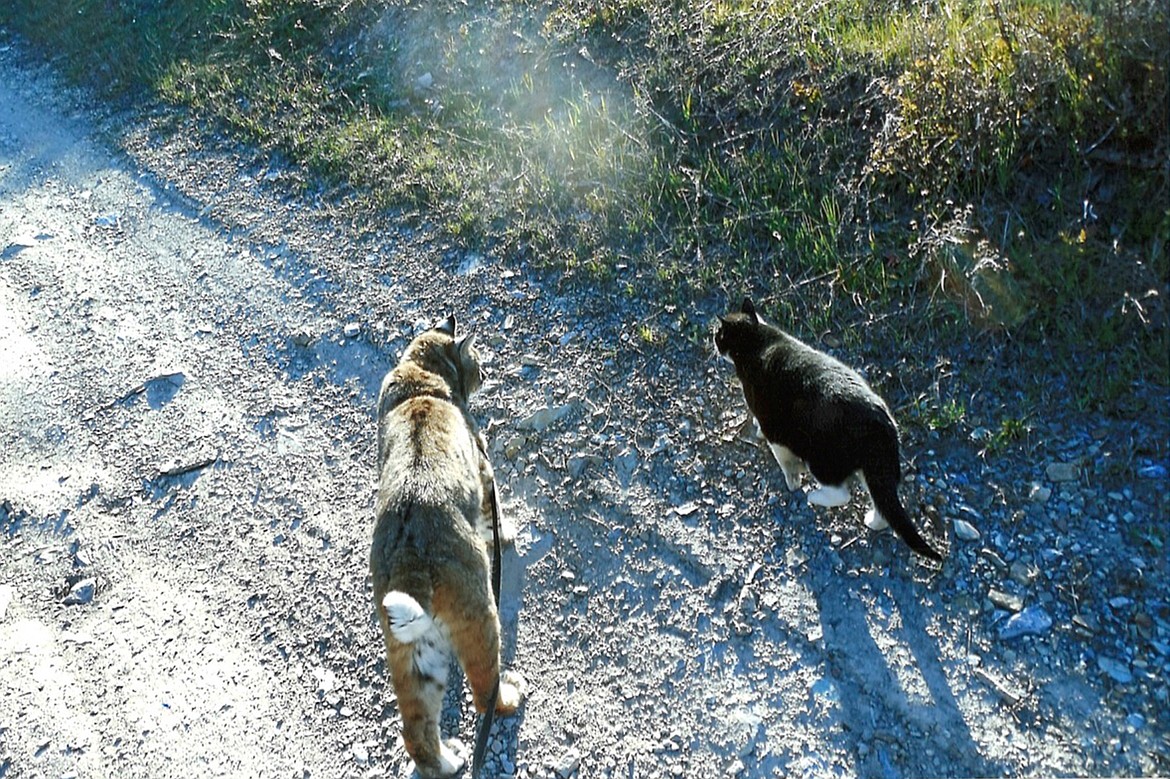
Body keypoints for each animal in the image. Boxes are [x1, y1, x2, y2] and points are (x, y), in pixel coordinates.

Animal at [711, 295, 940, 559]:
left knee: (842, 494)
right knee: (882, 503)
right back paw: (872, 521)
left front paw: (792, 480)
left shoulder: (774, 425)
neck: (757, 340)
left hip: (822, 457)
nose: (713, 340)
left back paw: (815, 496)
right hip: (875, 468)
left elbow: (784, 459)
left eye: (718, 334)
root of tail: (879, 421)